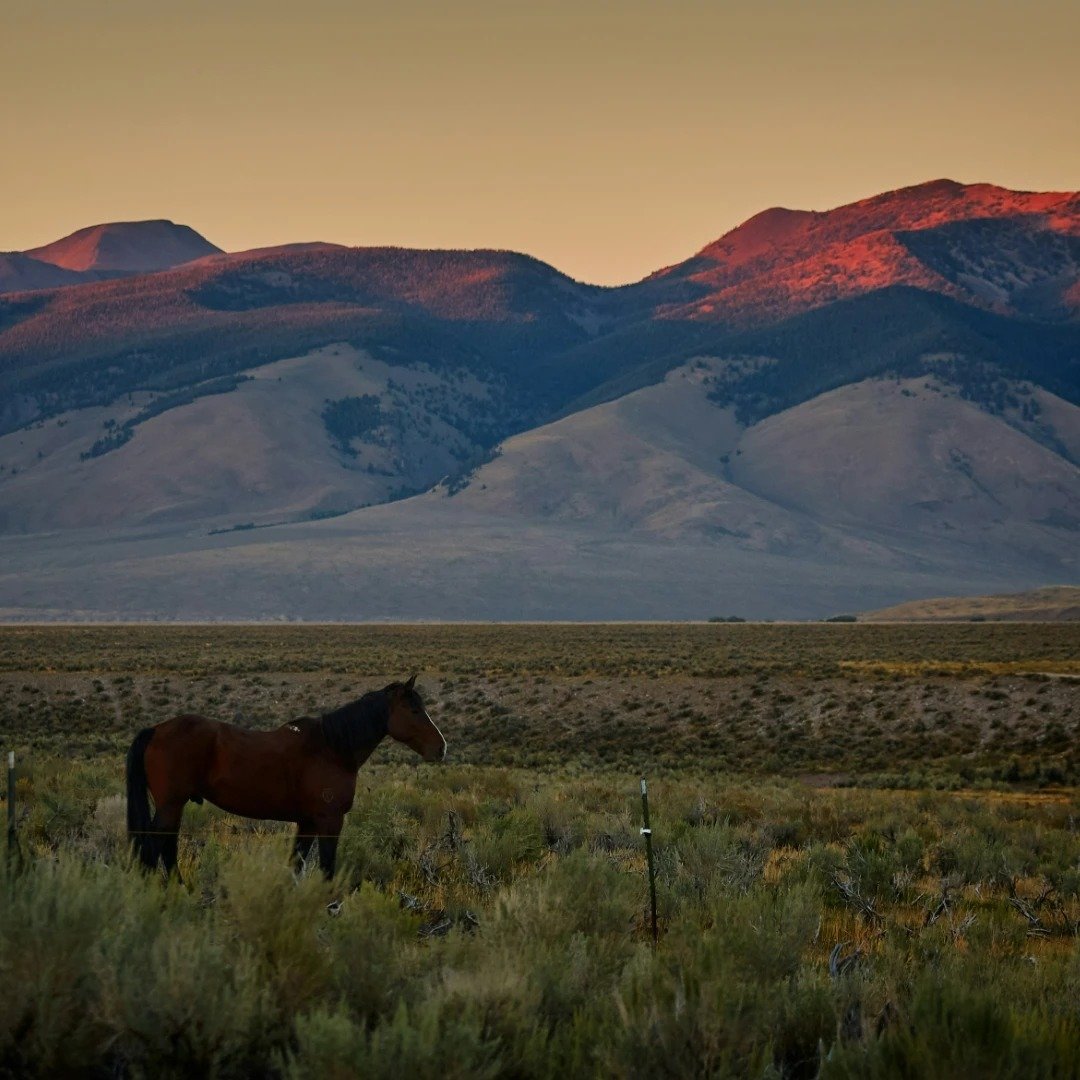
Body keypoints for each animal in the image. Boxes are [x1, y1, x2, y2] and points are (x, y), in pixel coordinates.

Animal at [124, 673, 444, 876]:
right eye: (415, 710)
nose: (441, 747)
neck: (332, 748)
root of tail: (156, 730)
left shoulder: (307, 823)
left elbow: (297, 866)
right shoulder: (329, 821)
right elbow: (327, 870)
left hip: (174, 807)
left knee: (166, 849)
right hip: (170, 805)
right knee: (154, 849)